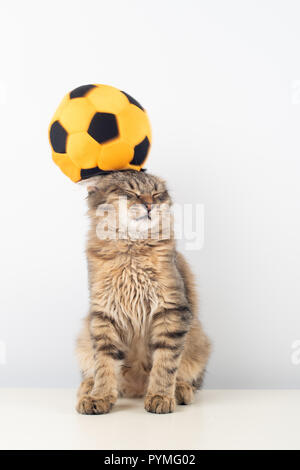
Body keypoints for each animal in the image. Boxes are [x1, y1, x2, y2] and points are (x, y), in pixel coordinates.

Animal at [75, 171, 211, 414]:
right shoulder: (104, 314)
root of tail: (135, 389)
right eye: (131, 193)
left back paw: (180, 390)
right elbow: (104, 364)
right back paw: (88, 388)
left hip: (198, 339)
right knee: (95, 372)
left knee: (189, 378)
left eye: (157, 195)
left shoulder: (172, 310)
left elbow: (165, 363)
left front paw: (160, 396)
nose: (150, 205)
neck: (132, 250)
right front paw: (100, 396)